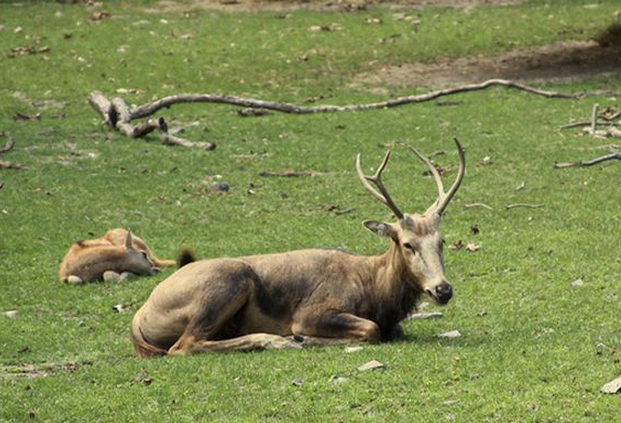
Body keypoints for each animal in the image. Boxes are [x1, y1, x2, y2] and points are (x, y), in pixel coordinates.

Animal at [130, 140, 460, 358]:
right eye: (407, 243)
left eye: (441, 241)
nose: (442, 289)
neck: (376, 291)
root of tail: (140, 316)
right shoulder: (311, 312)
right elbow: (371, 329)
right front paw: (305, 338)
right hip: (227, 281)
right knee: (183, 346)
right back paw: (275, 340)